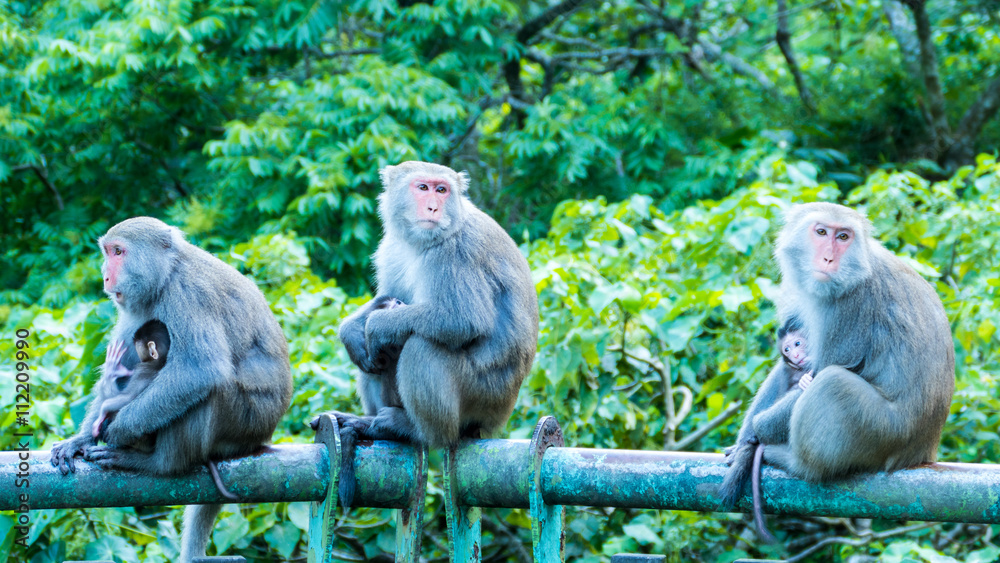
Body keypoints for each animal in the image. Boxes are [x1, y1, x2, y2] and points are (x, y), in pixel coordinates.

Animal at [312, 160, 538, 500]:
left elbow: (463, 318)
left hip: (484, 396)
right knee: (376, 357)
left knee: (423, 346)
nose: (433, 207)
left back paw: (413, 429)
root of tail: (501, 414)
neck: (422, 241)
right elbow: (386, 298)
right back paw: (369, 419)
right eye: (423, 188)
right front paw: (351, 330)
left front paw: (377, 325)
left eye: (442, 190)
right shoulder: (392, 248)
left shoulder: (457, 252)